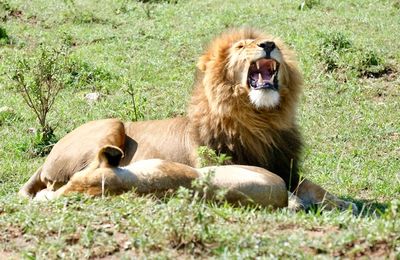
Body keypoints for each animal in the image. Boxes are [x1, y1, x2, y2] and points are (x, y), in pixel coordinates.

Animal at [18, 27, 356, 211]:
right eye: (241, 46)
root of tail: (46, 159)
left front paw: (342, 203)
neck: (258, 121)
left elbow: (314, 187)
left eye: (267, 43)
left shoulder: (286, 168)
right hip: (112, 123)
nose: (269, 44)